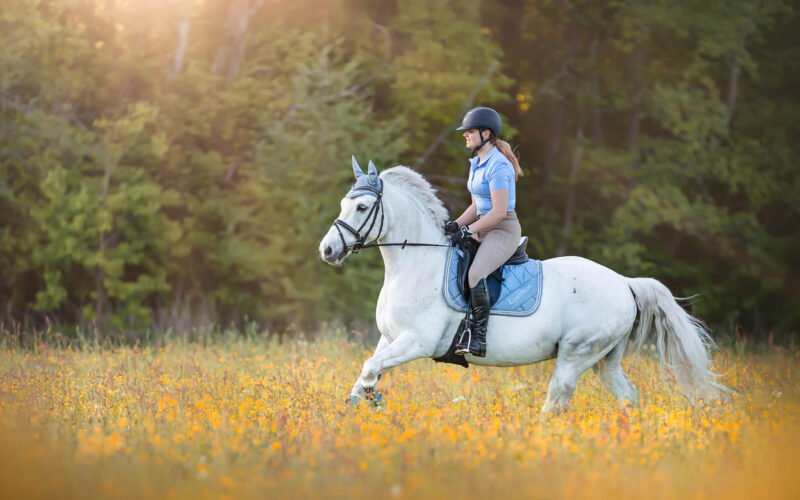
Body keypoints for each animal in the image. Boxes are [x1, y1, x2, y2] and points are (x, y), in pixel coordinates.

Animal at [318, 158, 727, 415]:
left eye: (362, 208)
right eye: (343, 203)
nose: (327, 250)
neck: (417, 263)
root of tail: (625, 284)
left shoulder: (417, 342)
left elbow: (369, 371)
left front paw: (372, 404)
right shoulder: (389, 339)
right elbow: (364, 374)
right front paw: (356, 412)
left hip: (576, 354)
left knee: (556, 402)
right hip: (604, 359)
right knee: (629, 396)